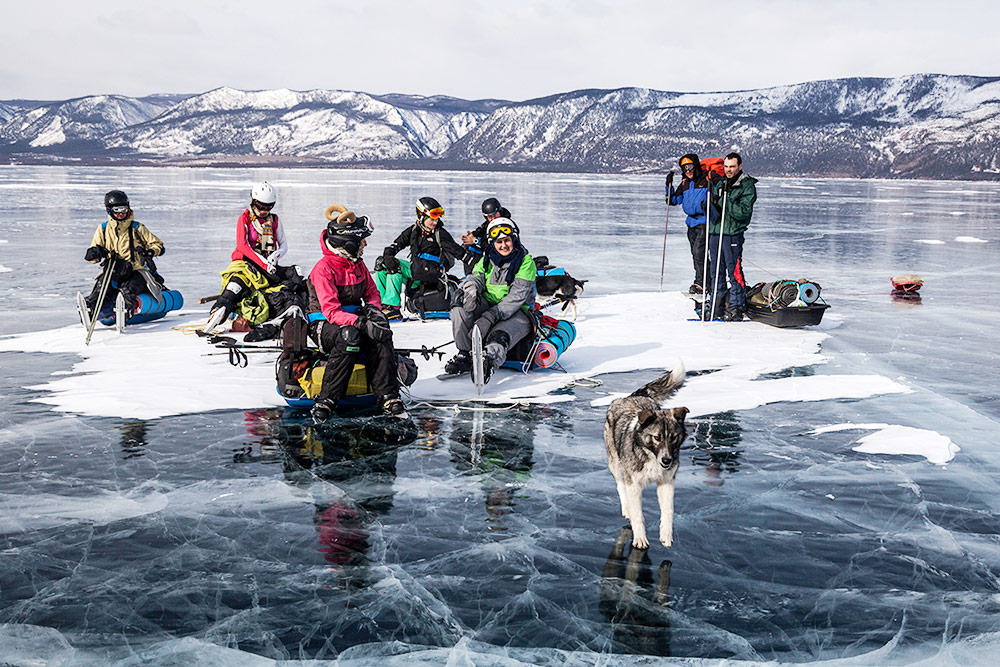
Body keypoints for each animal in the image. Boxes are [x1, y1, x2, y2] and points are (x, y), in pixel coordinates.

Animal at [600, 366, 688, 548]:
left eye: (674, 437)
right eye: (657, 437)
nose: (667, 460)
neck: (651, 457)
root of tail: (629, 397)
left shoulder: (666, 483)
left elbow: (668, 512)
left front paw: (666, 535)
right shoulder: (634, 485)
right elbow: (638, 515)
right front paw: (640, 538)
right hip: (616, 465)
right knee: (620, 486)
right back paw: (626, 509)